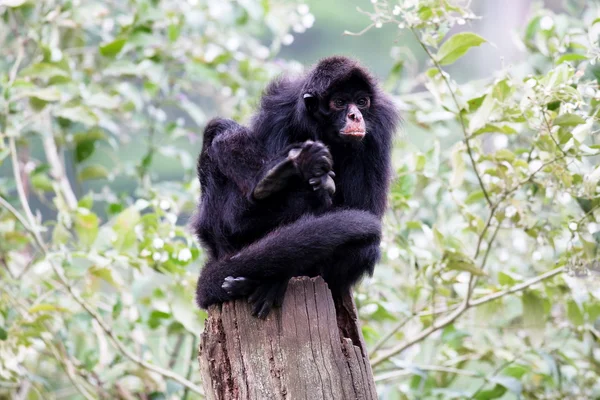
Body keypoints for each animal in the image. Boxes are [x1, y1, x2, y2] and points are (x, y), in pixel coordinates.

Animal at [193, 56, 398, 318]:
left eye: (362, 102)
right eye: (340, 103)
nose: (355, 116)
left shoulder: (378, 128)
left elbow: (366, 211)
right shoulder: (279, 111)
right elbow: (239, 221)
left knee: (366, 244)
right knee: (220, 129)